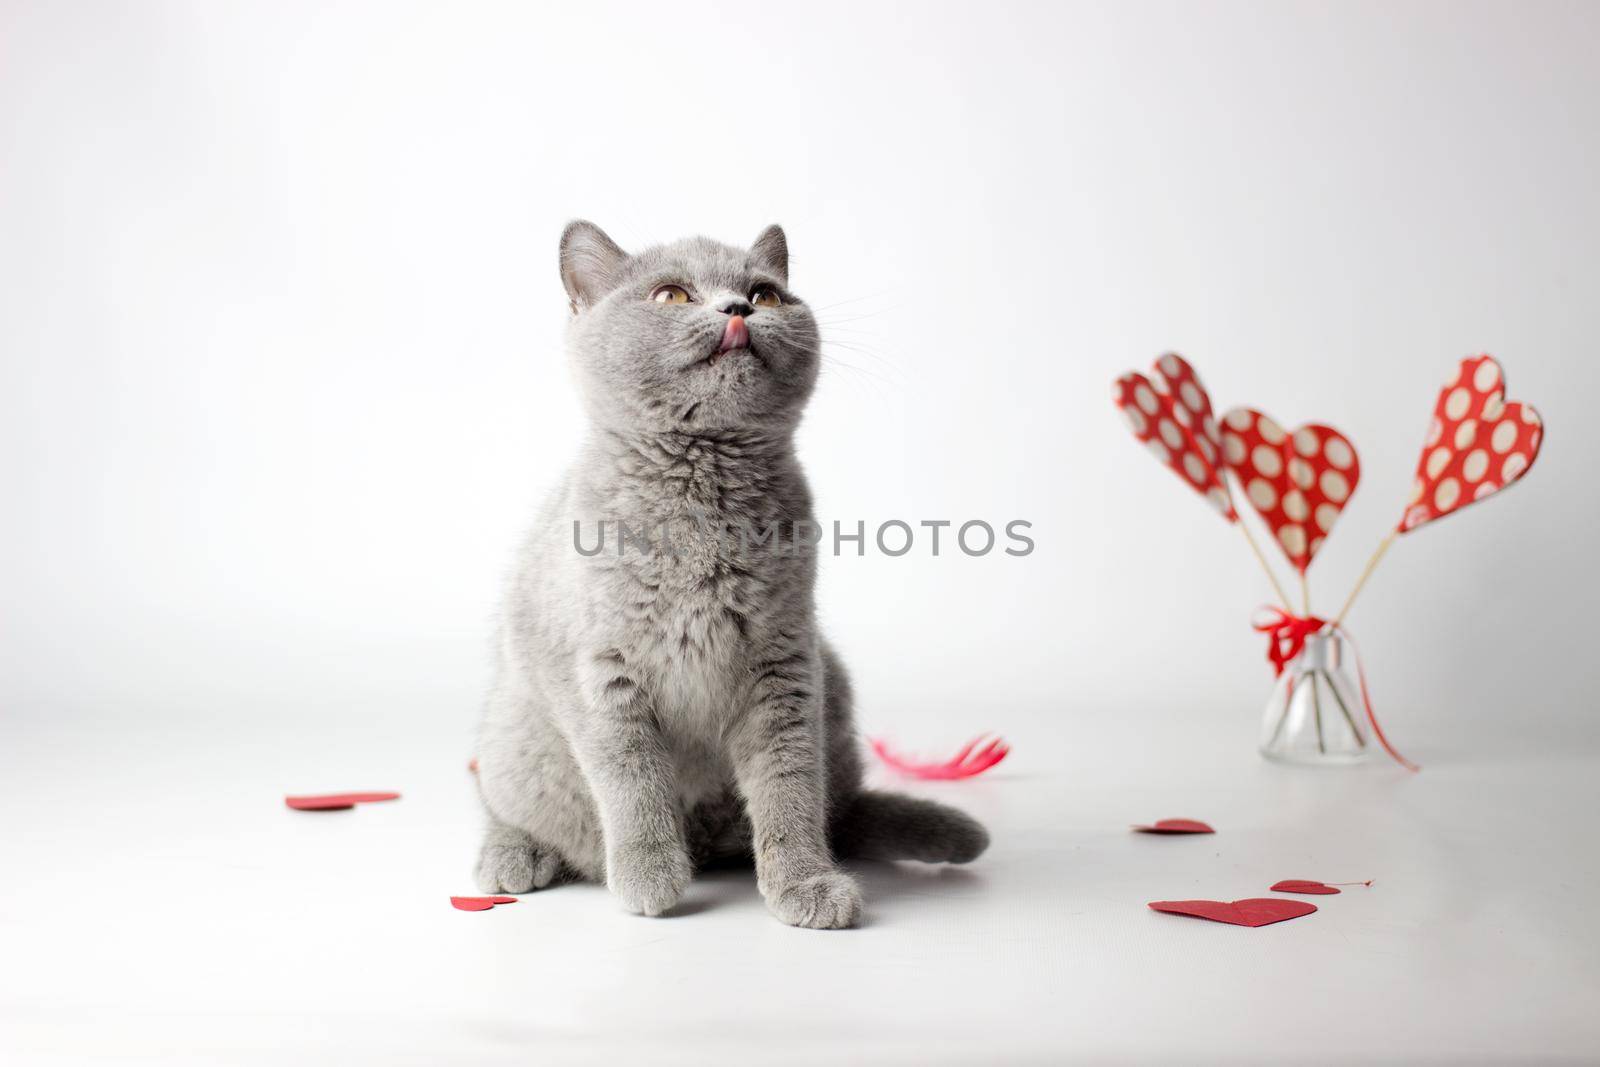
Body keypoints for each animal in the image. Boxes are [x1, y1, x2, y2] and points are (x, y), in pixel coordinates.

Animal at [467, 219, 985, 927]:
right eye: (671, 295)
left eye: (765, 294)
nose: (737, 309)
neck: (703, 487)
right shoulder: (598, 671)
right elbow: (631, 778)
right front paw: (650, 878)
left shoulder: (785, 665)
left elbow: (789, 785)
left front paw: (804, 883)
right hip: (511, 729)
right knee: (505, 803)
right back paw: (513, 857)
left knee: (835, 809)